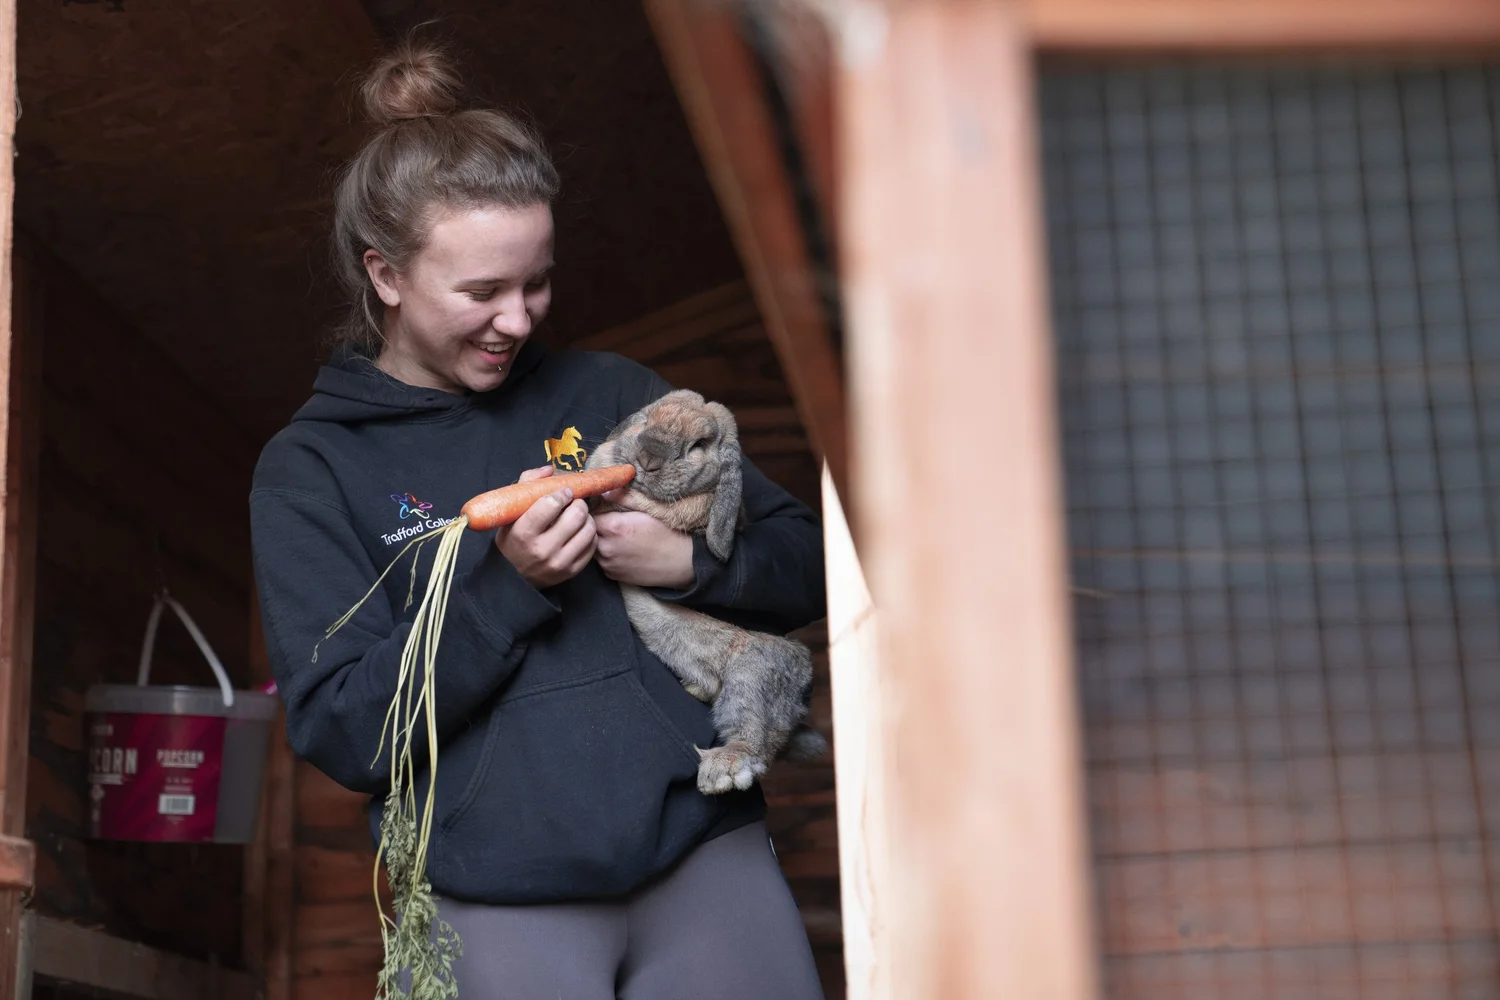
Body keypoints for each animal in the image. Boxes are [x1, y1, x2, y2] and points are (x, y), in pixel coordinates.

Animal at [586, 388, 829, 794]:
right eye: (645, 420)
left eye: (698, 445)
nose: (647, 459)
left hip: (751, 677)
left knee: (755, 740)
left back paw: (723, 769)